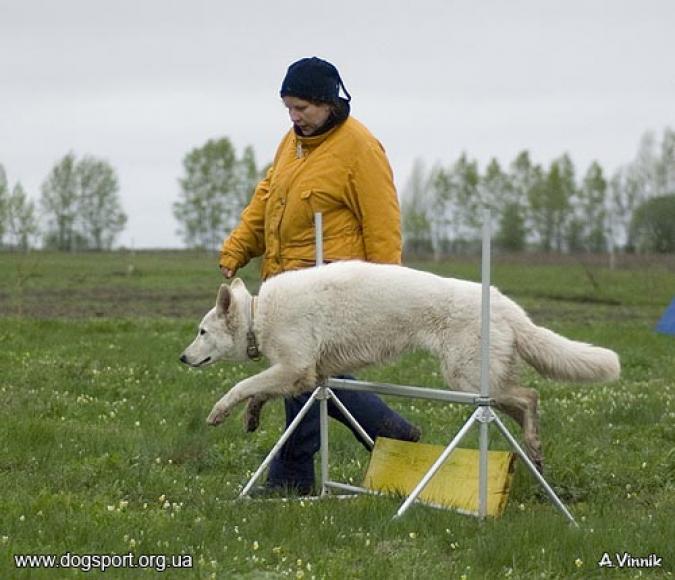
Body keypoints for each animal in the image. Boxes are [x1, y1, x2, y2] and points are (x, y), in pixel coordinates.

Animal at [178, 260, 616, 468]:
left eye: (201, 332)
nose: (182, 357)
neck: (260, 315)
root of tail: (506, 304)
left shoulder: (294, 368)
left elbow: (240, 386)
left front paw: (220, 411)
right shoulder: (300, 375)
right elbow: (257, 393)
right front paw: (250, 416)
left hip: (468, 381)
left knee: (528, 396)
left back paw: (534, 445)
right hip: (477, 380)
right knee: (528, 398)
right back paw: (535, 451)